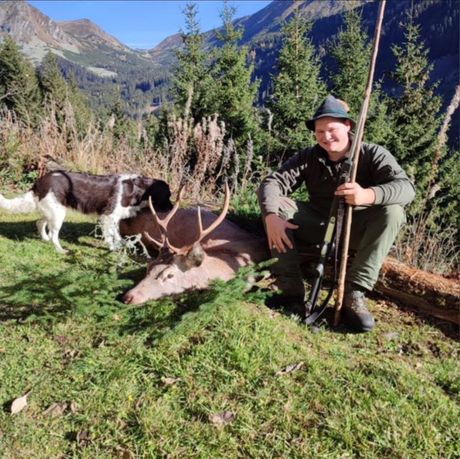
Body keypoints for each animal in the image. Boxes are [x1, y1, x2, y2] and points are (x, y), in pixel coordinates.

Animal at [0, 171, 172, 253]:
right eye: (168, 196)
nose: (171, 208)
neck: (136, 188)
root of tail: (40, 182)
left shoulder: (115, 217)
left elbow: (116, 233)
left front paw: (121, 244)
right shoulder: (108, 216)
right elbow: (110, 235)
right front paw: (112, 248)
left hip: (52, 209)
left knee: (40, 222)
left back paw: (45, 239)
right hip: (58, 212)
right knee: (54, 234)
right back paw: (60, 250)